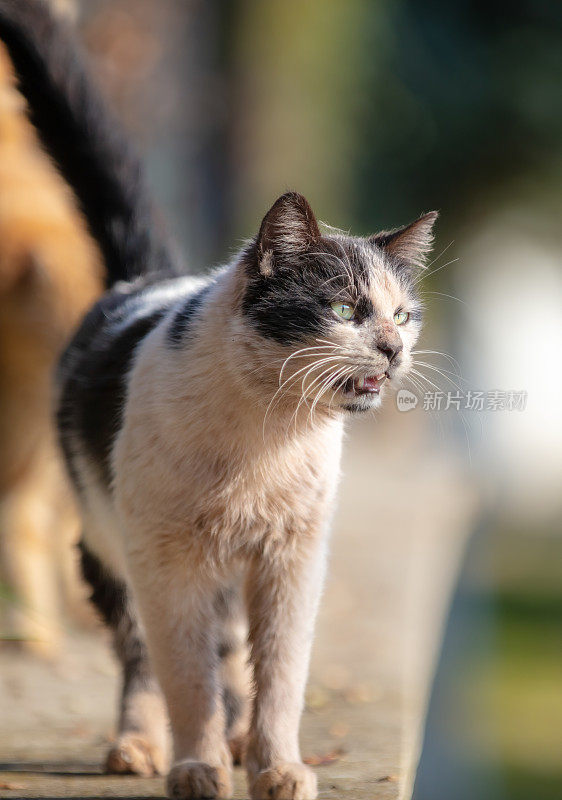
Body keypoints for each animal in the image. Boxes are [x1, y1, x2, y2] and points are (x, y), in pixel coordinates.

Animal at [0, 3, 438, 796]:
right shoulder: (167, 561)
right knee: (141, 655)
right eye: (345, 309)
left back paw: (237, 739)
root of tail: (148, 277)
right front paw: (197, 765)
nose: (395, 350)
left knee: (232, 651)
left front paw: (277, 766)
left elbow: (283, 676)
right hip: (108, 542)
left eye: (404, 314)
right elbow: (184, 675)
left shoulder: (293, 560)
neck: (265, 436)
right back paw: (140, 745)